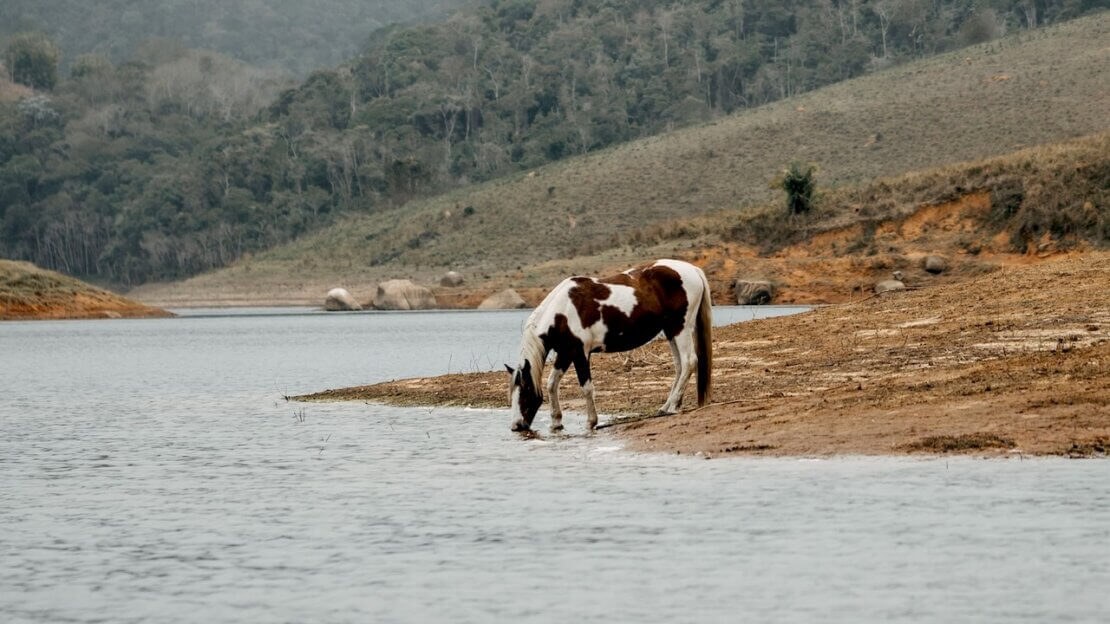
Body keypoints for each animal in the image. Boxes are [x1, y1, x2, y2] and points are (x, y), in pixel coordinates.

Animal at [506, 259, 712, 433]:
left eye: (524, 392)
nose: (516, 426)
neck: (563, 311)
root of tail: (692, 269)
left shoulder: (580, 353)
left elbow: (586, 387)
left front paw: (591, 421)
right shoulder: (565, 353)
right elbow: (551, 383)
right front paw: (556, 421)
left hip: (681, 328)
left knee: (689, 362)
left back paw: (672, 407)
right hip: (671, 331)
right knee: (679, 366)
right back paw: (668, 406)